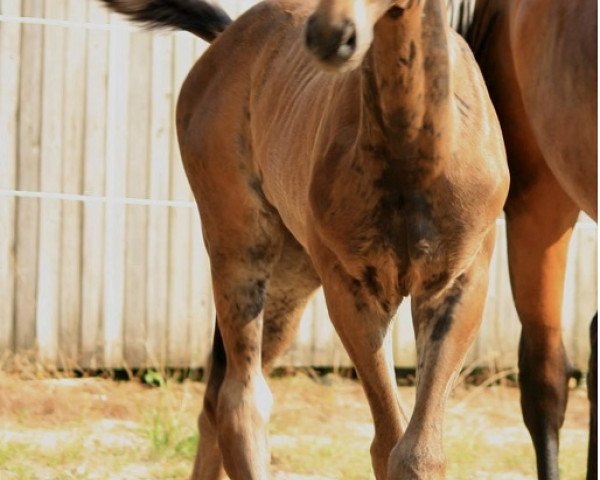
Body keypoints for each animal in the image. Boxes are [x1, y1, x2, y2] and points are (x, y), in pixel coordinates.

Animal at [102, 0, 506, 476]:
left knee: (216, 397)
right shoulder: (353, 290)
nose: (331, 36)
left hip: (290, 279)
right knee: (242, 400)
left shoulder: (459, 285)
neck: (414, 153)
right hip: (240, 244)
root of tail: (226, 37)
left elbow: (419, 451)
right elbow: (388, 443)